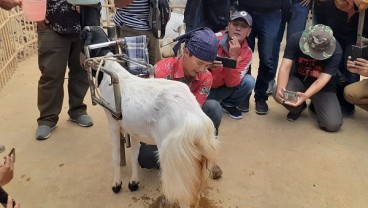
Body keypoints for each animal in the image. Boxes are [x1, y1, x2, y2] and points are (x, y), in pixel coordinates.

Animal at [82, 26, 217, 207]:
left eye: (84, 34)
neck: (111, 70)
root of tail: (197, 123)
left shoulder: (113, 121)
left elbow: (115, 154)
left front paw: (117, 184)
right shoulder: (133, 129)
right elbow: (134, 155)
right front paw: (133, 182)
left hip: (176, 159)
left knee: (184, 196)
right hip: (196, 163)